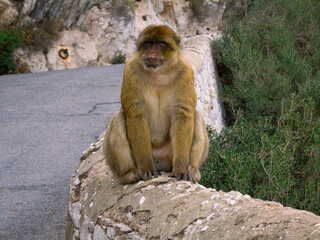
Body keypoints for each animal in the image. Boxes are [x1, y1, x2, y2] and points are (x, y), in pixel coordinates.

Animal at [104, 25, 210, 184]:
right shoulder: (131, 69)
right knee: (118, 118)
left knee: (196, 117)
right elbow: (136, 114)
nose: (151, 51)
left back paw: (193, 170)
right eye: (148, 43)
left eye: (160, 43)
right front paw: (147, 169)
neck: (159, 73)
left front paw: (181, 169)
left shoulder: (185, 71)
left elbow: (182, 115)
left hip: (170, 156)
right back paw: (129, 174)